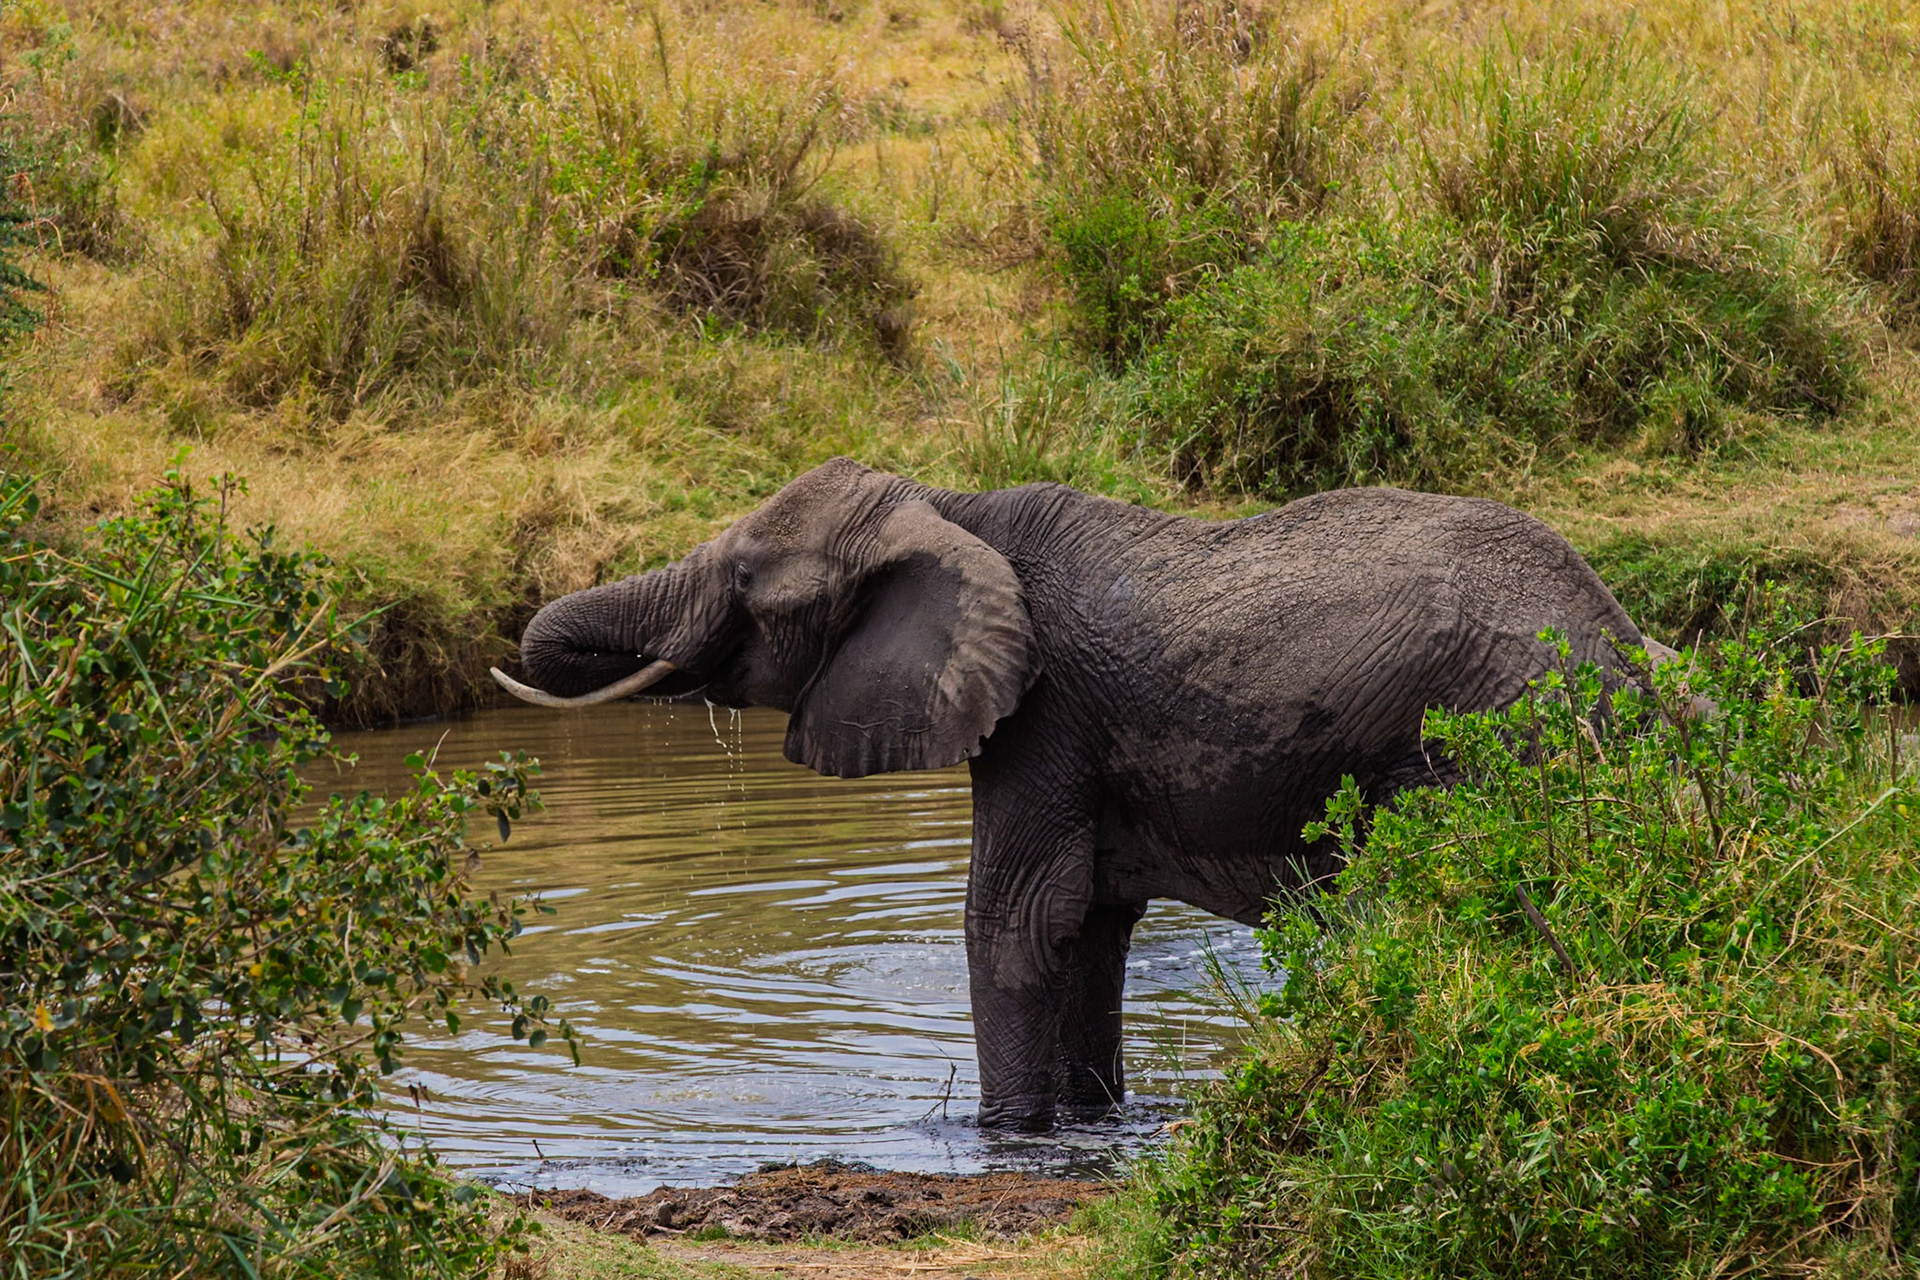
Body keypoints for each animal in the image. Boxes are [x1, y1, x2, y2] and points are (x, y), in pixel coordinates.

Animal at [491, 457, 1656, 1132]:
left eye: (743, 579)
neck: (954, 512)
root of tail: (1632, 646)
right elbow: (1088, 926)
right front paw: (1088, 1122)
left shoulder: (1043, 713)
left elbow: (1012, 919)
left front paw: (1002, 1136)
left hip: (1478, 739)